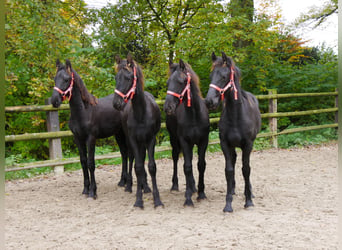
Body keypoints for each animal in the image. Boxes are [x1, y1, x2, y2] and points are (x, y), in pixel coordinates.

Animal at [50, 59, 134, 198]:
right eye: (55, 78)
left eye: (67, 79)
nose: (54, 100)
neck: (83, 111)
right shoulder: (78, 138)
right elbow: (83, 162)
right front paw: (85, 188)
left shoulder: (91, 138)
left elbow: (91, 163)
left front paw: (92, 191)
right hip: (118, 134)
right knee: (124, 153)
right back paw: (122, 181)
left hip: (126, 134)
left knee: (130, 154)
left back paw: (129, 183)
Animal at [113, 54, 164, 209]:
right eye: (116, 77)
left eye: (128, 78)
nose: (116, 103)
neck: (141, 113)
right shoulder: (133, 140)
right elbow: (138, 167)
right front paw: (138, 200)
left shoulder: (150, 139)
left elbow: (151, 166)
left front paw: (157, 199)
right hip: (130, 142)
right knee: (131, 159)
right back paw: (130, 185)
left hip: (143, 142)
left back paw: (145, 186)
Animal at [164, 59, 210, 207]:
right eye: (168, 83)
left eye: (181, 81)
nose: (168, 107)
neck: (194, 115)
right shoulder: (184, 141)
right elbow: (187, 167)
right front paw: (188, 198)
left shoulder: (203, 141)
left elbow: (201, 165)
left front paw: (201, 193)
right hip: (174, 140)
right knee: (176, 158)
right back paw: (176, 186)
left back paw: (194, 187)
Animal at [204, 51, 260, 212]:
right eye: (211, 76)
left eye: (224, 76)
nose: (209, 101)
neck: (236, 116)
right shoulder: (225, 144)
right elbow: (229, 170)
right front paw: (228, 203)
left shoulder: (248, 145)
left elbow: (246, 169)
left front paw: (248, 201)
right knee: (234, 162)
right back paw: (234, 189)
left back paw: (250, 192)